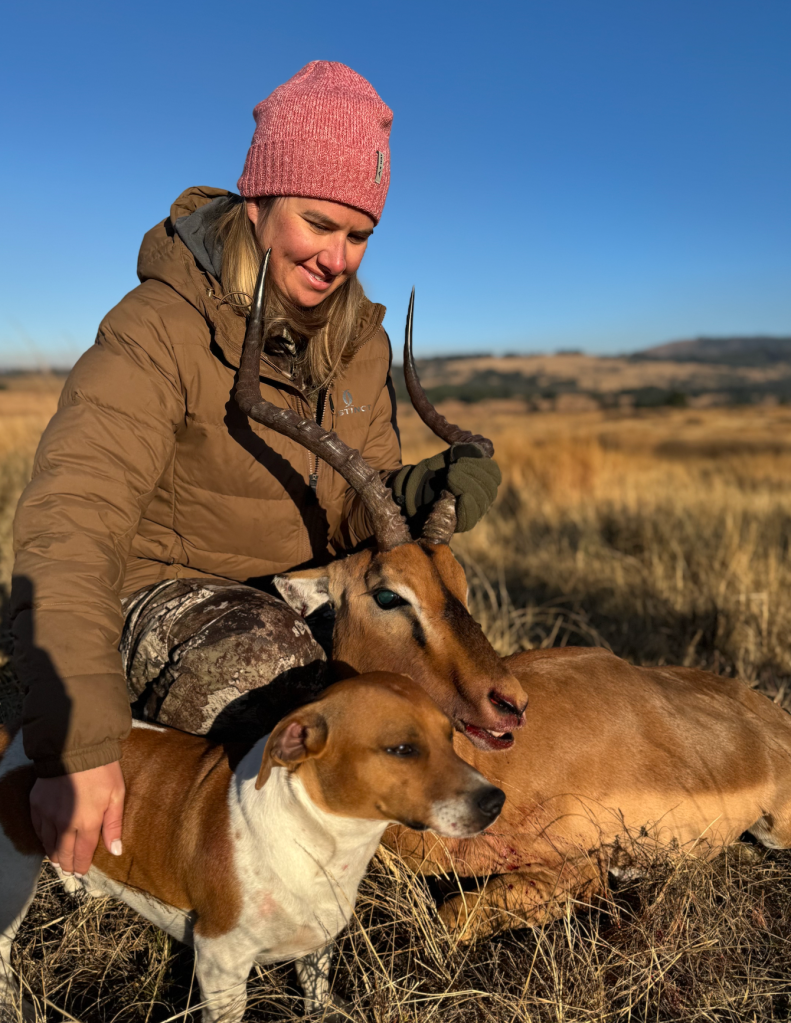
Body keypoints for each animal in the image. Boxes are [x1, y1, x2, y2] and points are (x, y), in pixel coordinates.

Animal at [0, 672, 505, 1022]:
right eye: (402, 749)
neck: (319, 836)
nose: (495, 800)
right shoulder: (221, 963)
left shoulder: (317, 939)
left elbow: (316, 988)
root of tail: (12, 733)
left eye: (450, 736)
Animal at [237, 254, 791, 943]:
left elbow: (454, 913)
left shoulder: (576, 864)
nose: (509, 704)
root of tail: (768, 714)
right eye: (388, 594)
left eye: (461, 582)